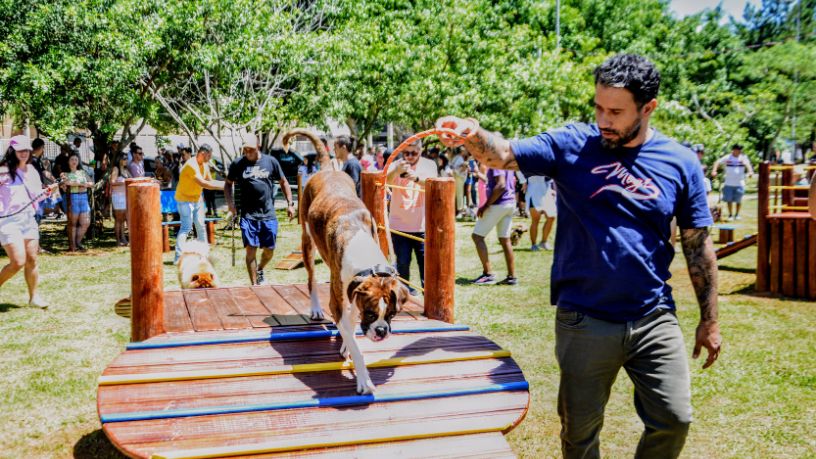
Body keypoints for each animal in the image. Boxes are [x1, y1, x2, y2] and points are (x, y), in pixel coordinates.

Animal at [300, 170, 412, 396]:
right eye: (369, 314)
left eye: (392, 315)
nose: (381, 331)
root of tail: (328, 170)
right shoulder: (337, 303)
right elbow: (355, 345)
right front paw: (364, 380)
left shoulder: (353, 295)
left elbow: (350, 325)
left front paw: (345, 345)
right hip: (307, 242)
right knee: (311, 278)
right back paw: (315, 308)